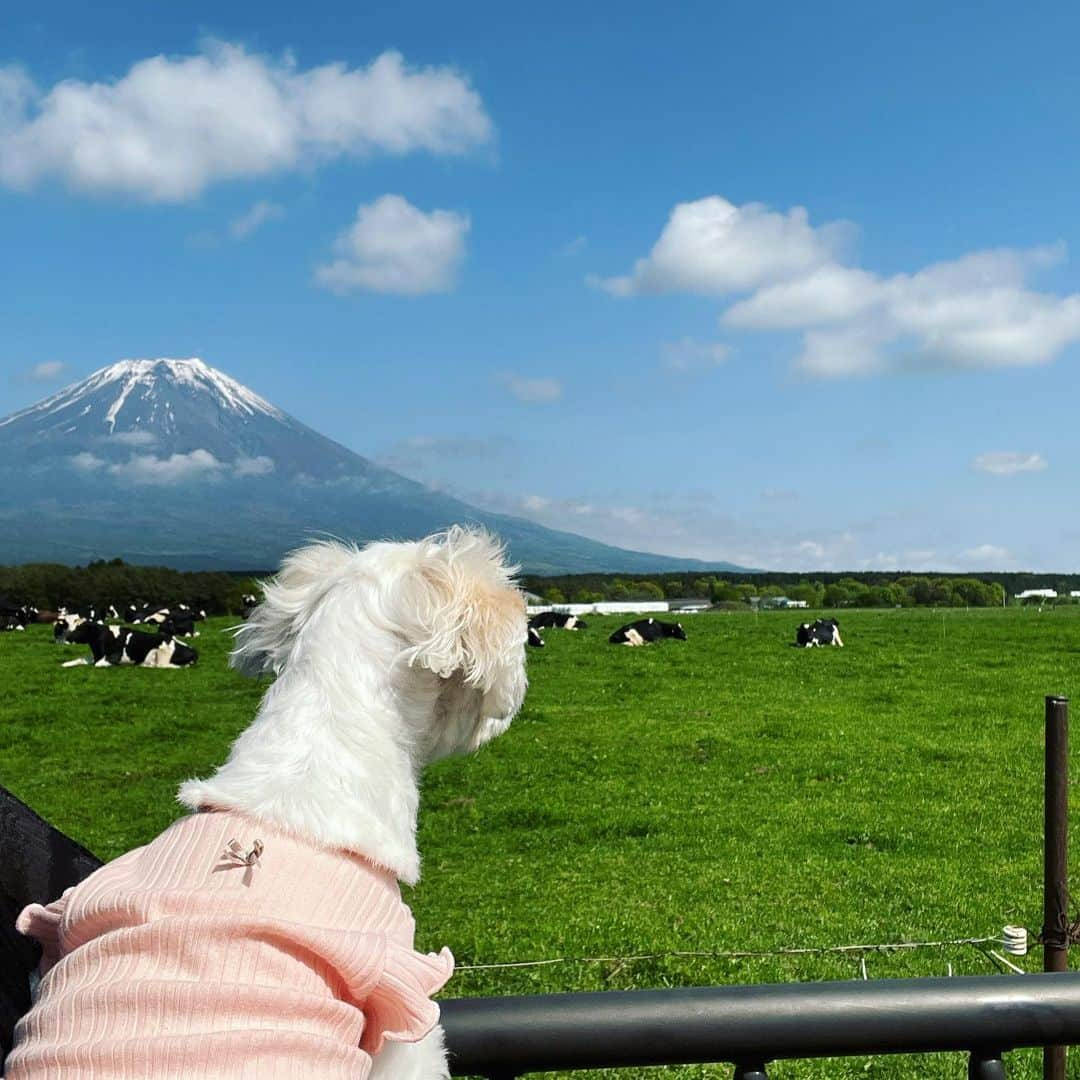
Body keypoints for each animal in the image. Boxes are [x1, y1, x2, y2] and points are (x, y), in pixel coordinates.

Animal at [61, 622, 198, 669]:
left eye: (80, 629)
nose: (67, 637)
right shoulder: (96, 656)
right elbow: (80, 659)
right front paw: (65, 664)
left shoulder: (114, 656)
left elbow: (97, 664)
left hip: (163, 655)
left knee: (167, 666)